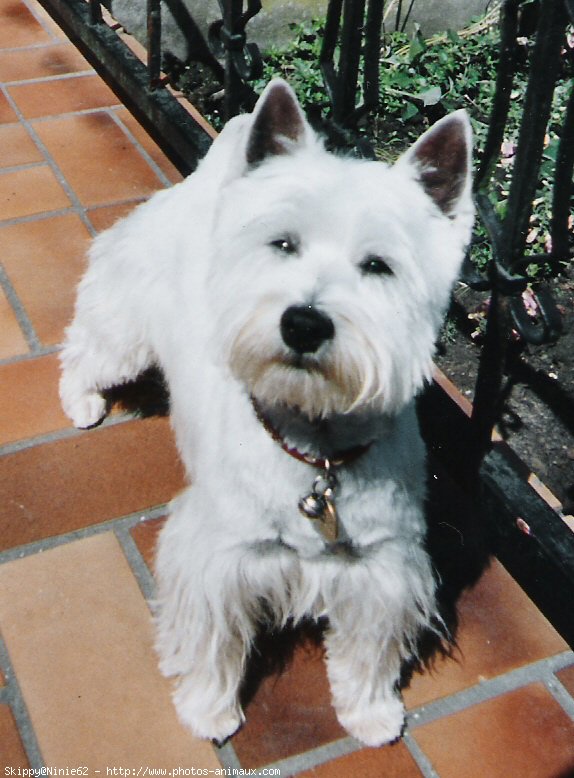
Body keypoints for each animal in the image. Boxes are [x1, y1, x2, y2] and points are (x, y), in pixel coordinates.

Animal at [60, 79, 476, 744]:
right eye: (283, 243)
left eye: (378, 265)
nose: (303, 322)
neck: (314, 445)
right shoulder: (222, 554)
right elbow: (212, 638)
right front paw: (208, 710)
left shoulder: (383, 562)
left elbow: (368, 647)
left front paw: (370, 712)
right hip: (124, 323)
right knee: (87, 346)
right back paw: (81, 399)